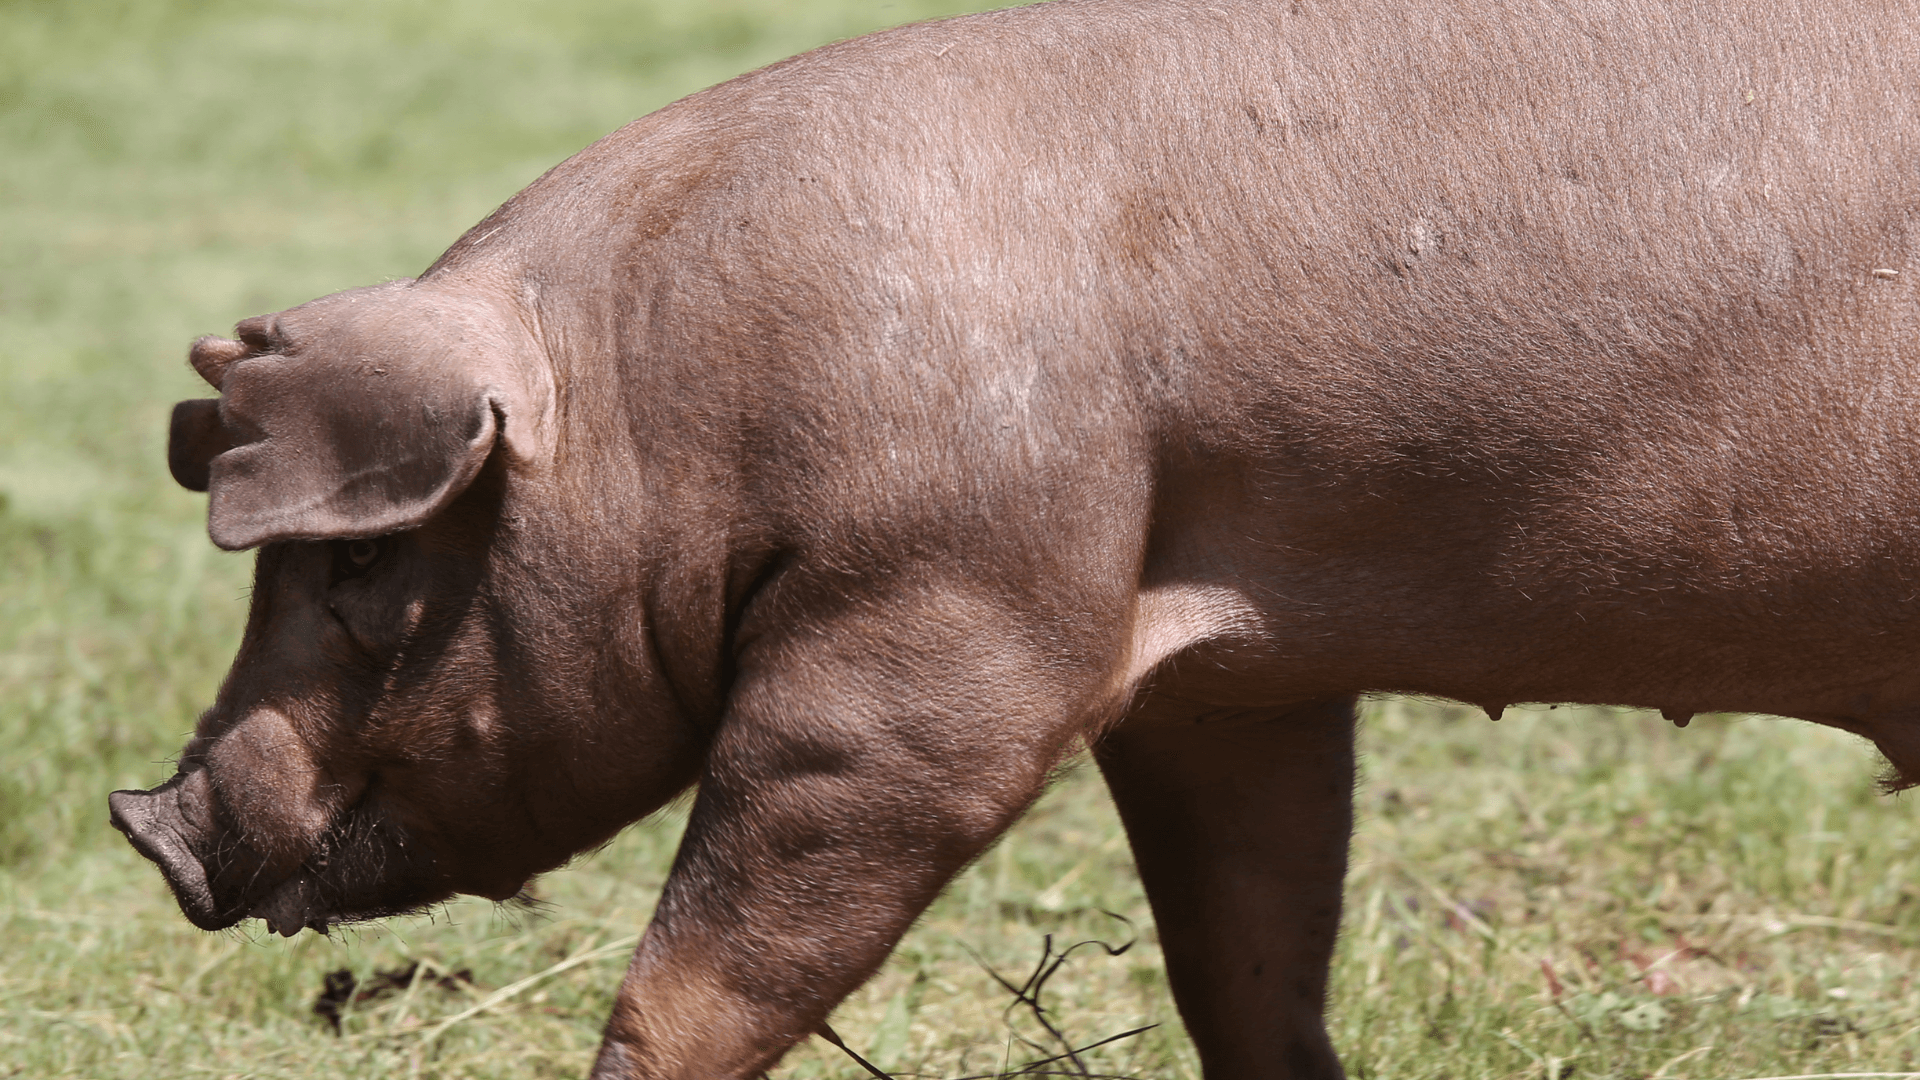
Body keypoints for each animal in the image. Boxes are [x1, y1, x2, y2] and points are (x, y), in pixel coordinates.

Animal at [110, 0, 1920, 1076]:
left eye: (358, 562)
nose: (152, 825)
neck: (659, 406)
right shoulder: (1229, 677)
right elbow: (1248, 950)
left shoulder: (933, 643)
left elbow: (700, 970)